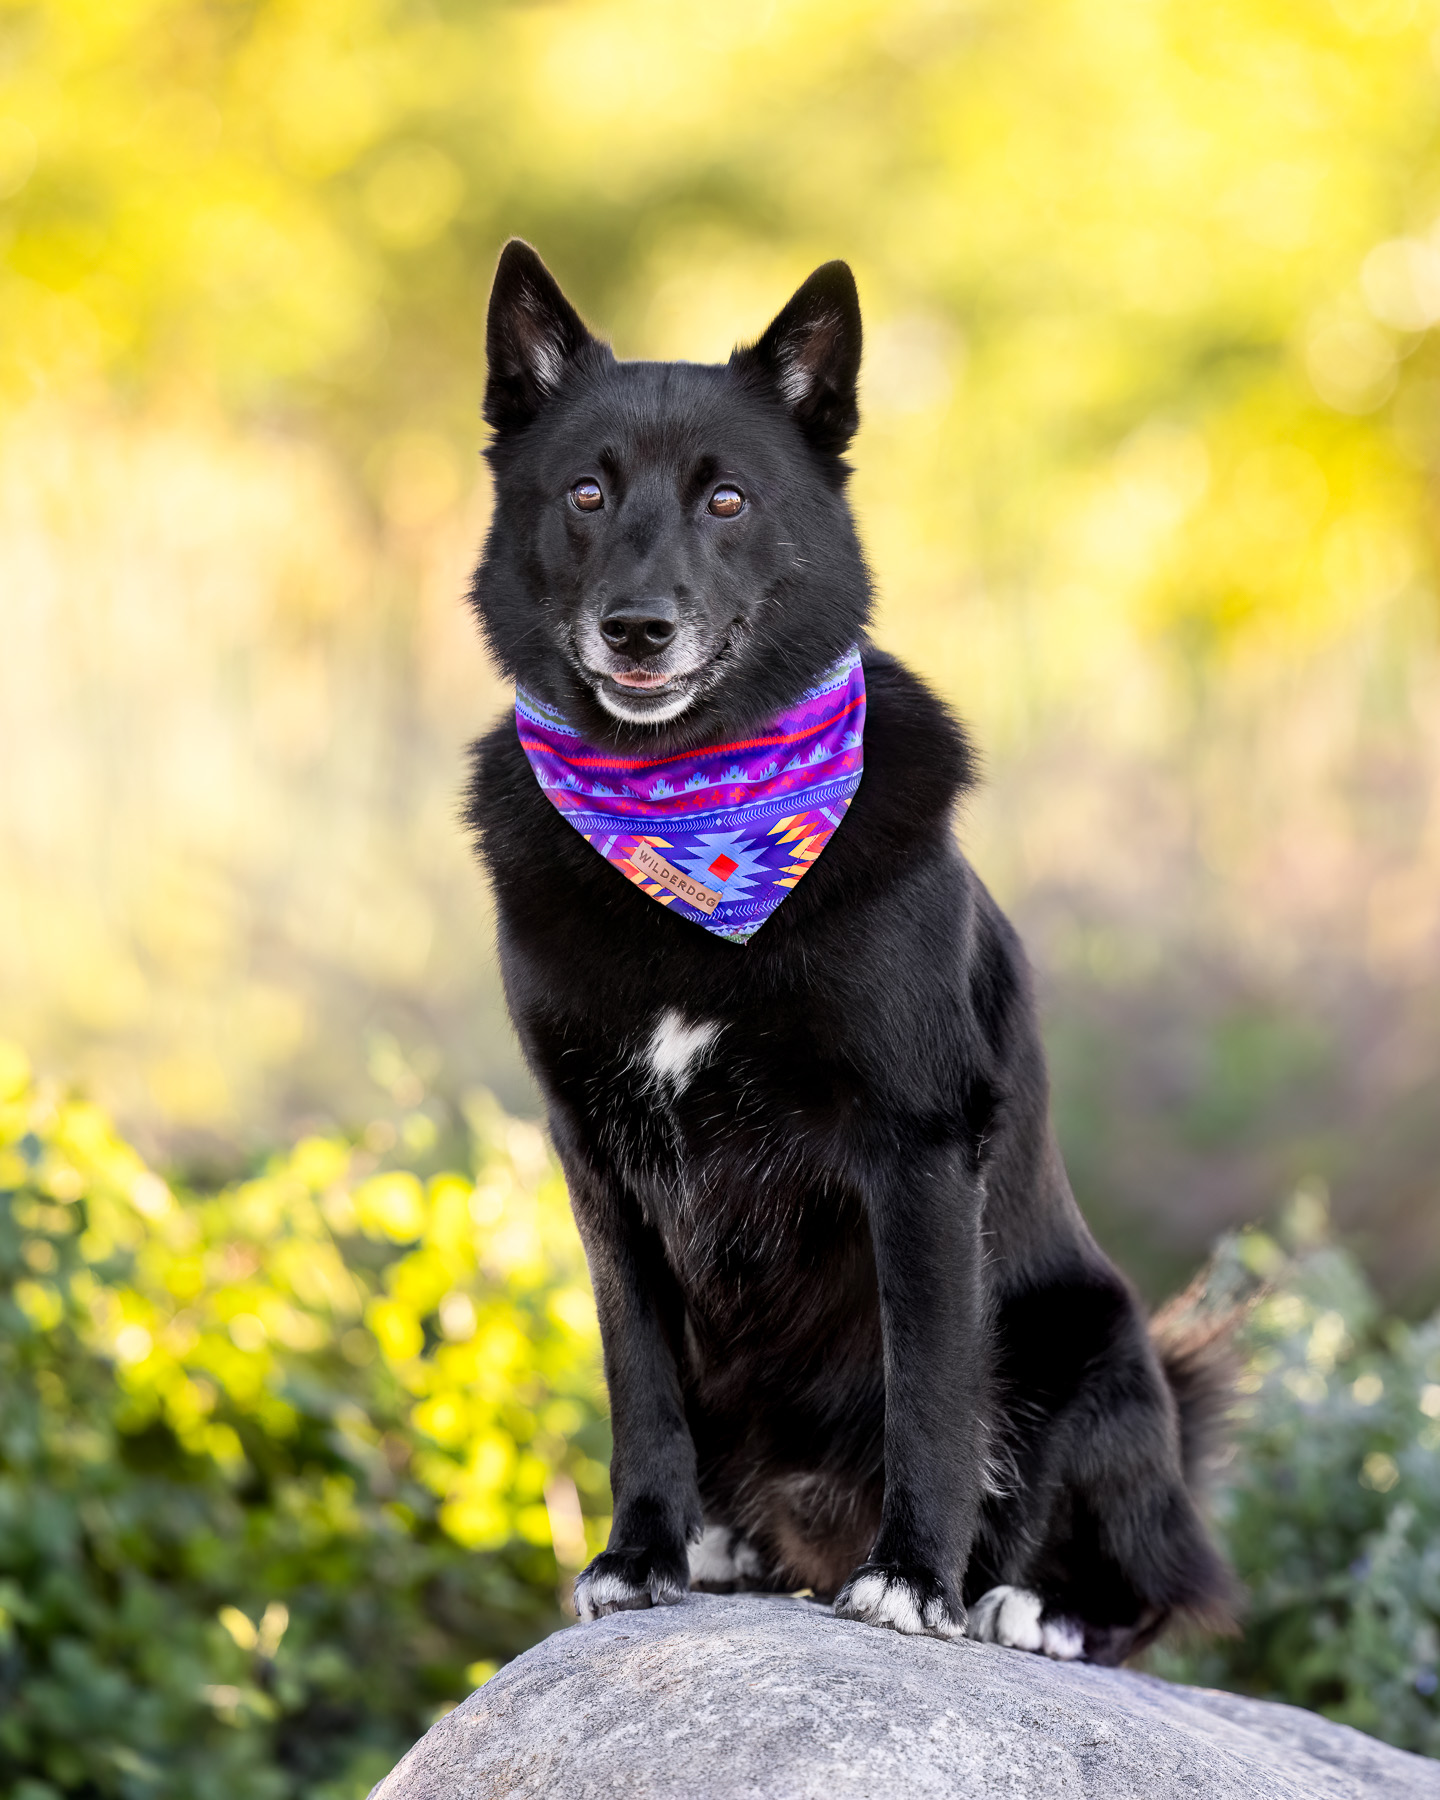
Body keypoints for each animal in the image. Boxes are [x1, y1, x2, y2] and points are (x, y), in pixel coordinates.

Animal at [468, 239, 1231, 1656]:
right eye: (586, 492)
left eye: (727, 500)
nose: (637, 628)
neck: (697, 812)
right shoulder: (598, 1161)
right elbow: (640, 1386)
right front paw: (641, 1554)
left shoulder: (917, 1144)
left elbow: (927, 1388)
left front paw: (917, 1579)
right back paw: (732, 1548)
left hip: (1093, 1347)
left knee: (1148, 1579)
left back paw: (1030, 1602)